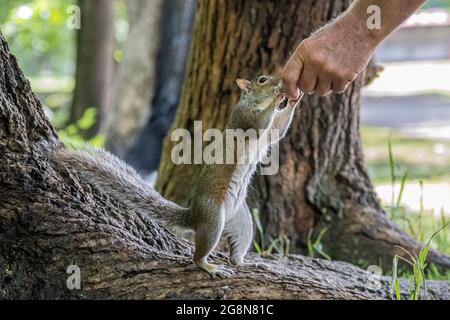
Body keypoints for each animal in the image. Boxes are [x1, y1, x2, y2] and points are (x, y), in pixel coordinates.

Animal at [54, 75, 300, 278]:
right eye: (262, 79)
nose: (281, 82)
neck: (255, 103)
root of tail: (193, 216)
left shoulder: (269, 134)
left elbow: (278, 129)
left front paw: (294, 99)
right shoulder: (244, 120)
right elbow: (259, 124)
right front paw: (278, 95)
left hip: (242, 221)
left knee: (235, 253)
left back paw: (245, 263)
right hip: (213, 220)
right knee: (197, 256)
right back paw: (209, 267)